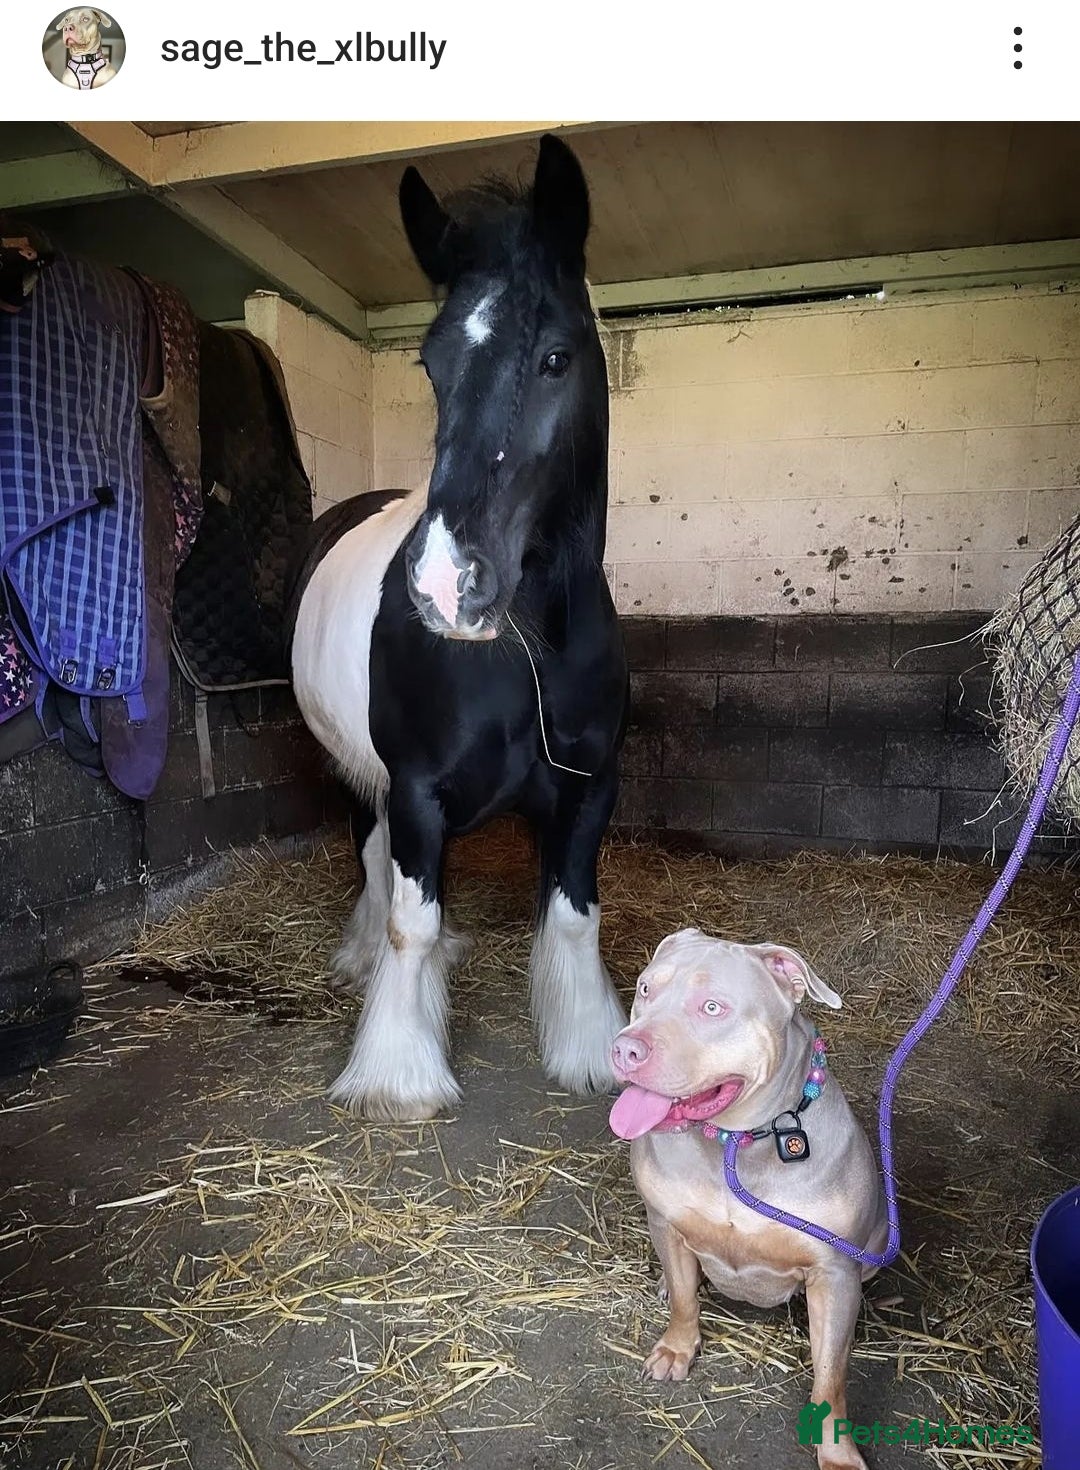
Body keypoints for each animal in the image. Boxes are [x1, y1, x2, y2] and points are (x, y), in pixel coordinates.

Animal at [289, 134, 629, 1122]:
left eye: (555, 356)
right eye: (433, 367)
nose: (445, 587)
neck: (528, 650)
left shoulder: (591, 790)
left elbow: (574, 921)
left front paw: (589, 1052)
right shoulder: (414, 792)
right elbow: (411, 922)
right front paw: (397, 1076)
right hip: (352, 772)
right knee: (369, 858)